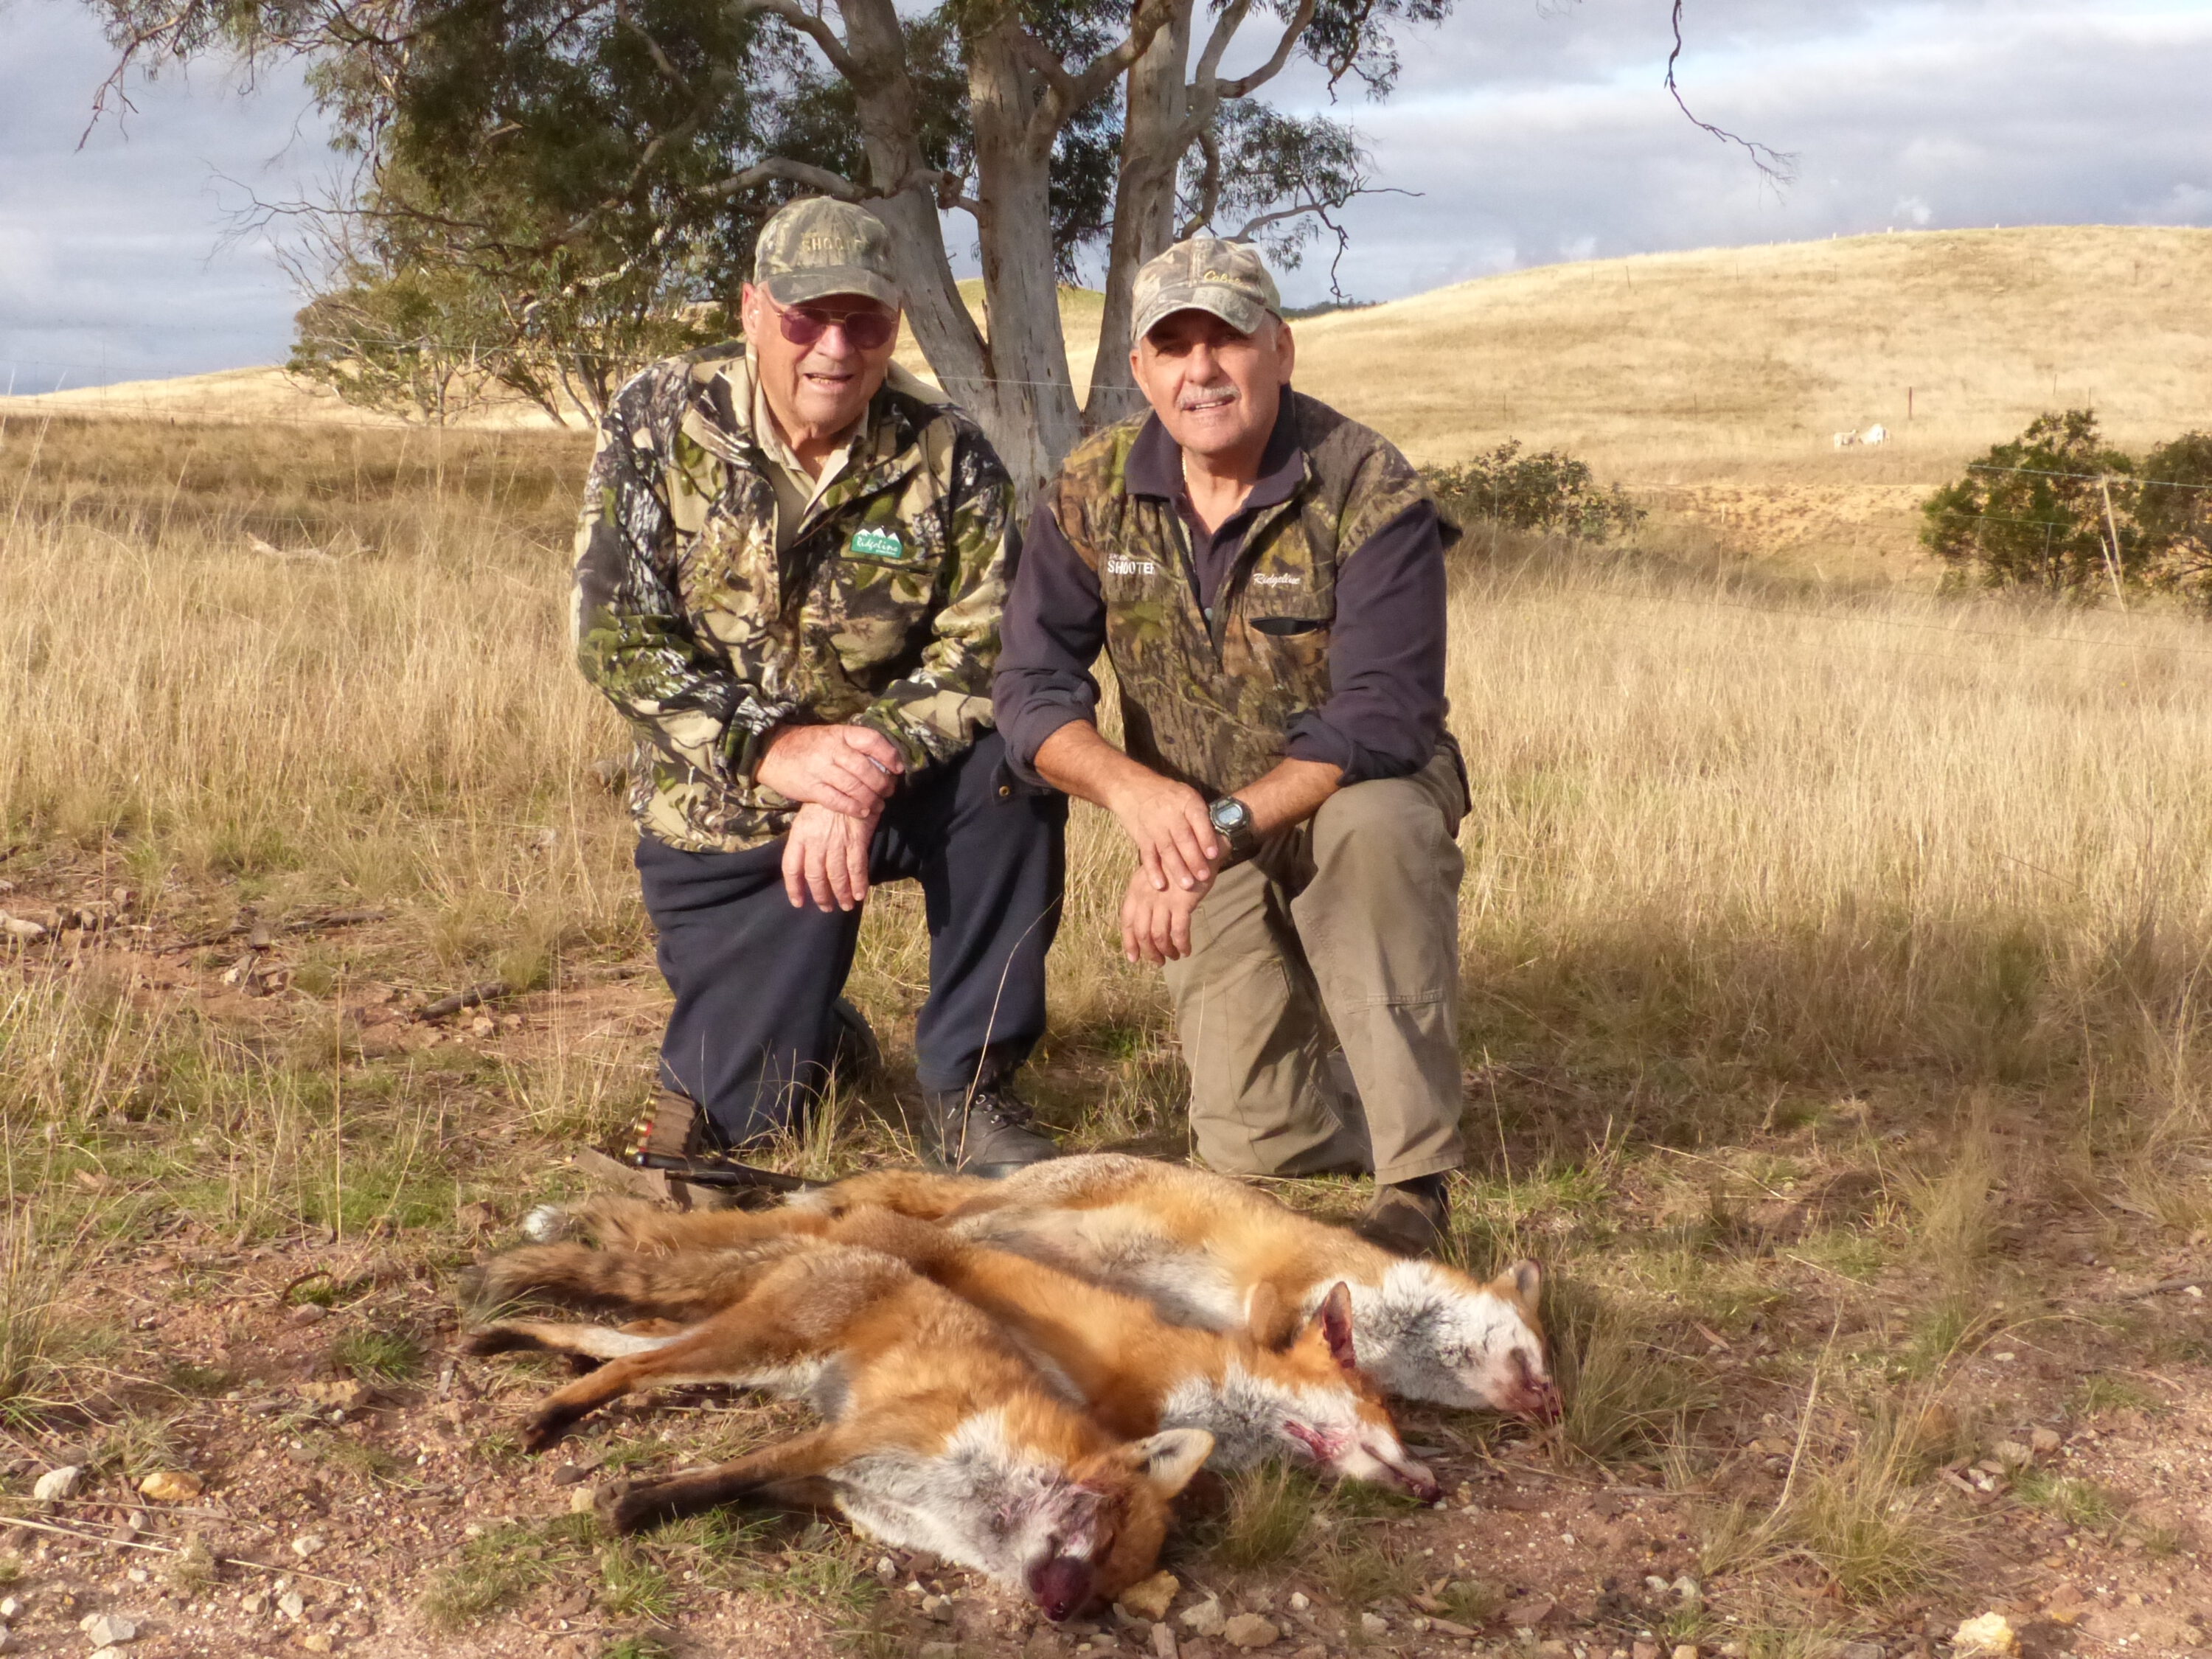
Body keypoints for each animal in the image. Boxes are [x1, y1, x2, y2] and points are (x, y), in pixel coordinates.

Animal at [465, 1248, 1212, 1628]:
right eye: (1105, 1545)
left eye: (1105, 1599)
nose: (1058, 1613)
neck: (972, 1513)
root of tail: (840, 1247)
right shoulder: (849, 1439)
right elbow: (726, 1474)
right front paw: (635, 1505)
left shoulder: (841, 1493)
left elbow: (733, 1492)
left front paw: (654, 1502)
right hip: (748, 1353)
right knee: (627, 1366)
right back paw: (549, 1412)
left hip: (746, 1362)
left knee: (602, 1340)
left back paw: (513, 1345)